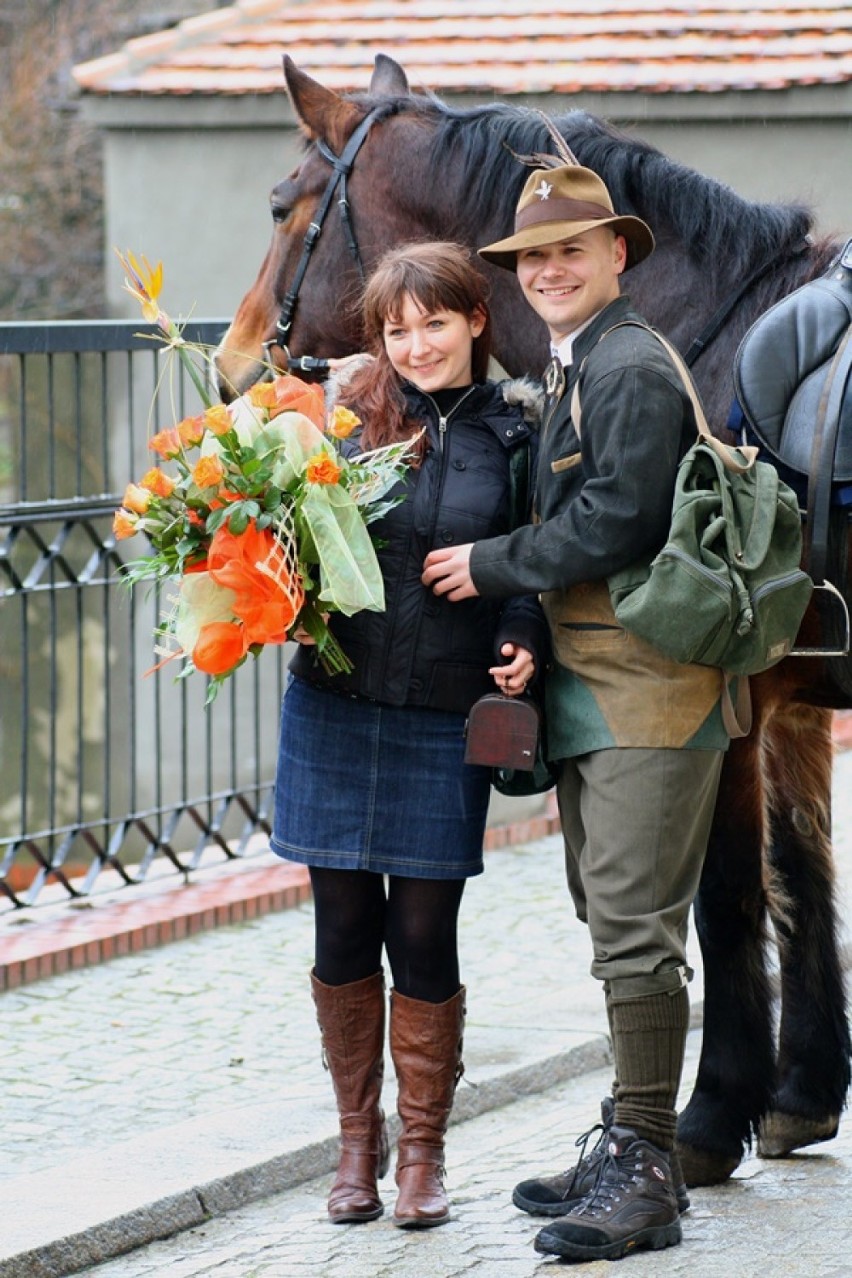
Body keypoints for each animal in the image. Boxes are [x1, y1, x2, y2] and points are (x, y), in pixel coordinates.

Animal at [218, 52, 852, 1185]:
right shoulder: (793, 701)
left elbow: (728, 897)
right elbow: (803, 870)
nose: (232, 362)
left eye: (284, 206)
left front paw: (709, 1116)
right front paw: (804, 1093)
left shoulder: (719, 714)